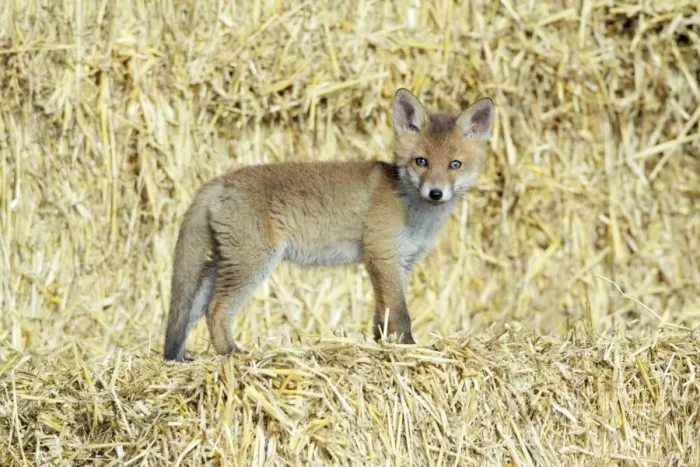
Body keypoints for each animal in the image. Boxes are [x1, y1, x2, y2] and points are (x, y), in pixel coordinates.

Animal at [163, 88, 495, 361]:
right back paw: (231, 353)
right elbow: (400, 313)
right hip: (251, 263)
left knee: (194, 308)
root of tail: (218, 181)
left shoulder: (399, 262)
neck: (412, 209)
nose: (436, 193)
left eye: (455, 165)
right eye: (421, 162)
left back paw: (180, 357)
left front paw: (382, 346)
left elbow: (383, 314)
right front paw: (408, 348)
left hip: (222, 264)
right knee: (216, 310)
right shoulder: (383, 255)